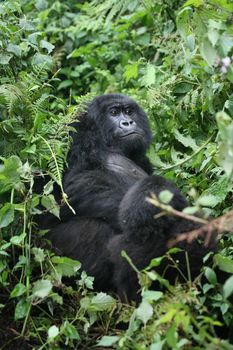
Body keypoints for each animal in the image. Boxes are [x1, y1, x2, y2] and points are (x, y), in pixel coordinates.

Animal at [41, 93, 216, 300]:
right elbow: (78, 185)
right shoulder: (79, 140)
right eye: (114, 112)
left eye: (129, 111)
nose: (128, 122)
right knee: (94, 229)